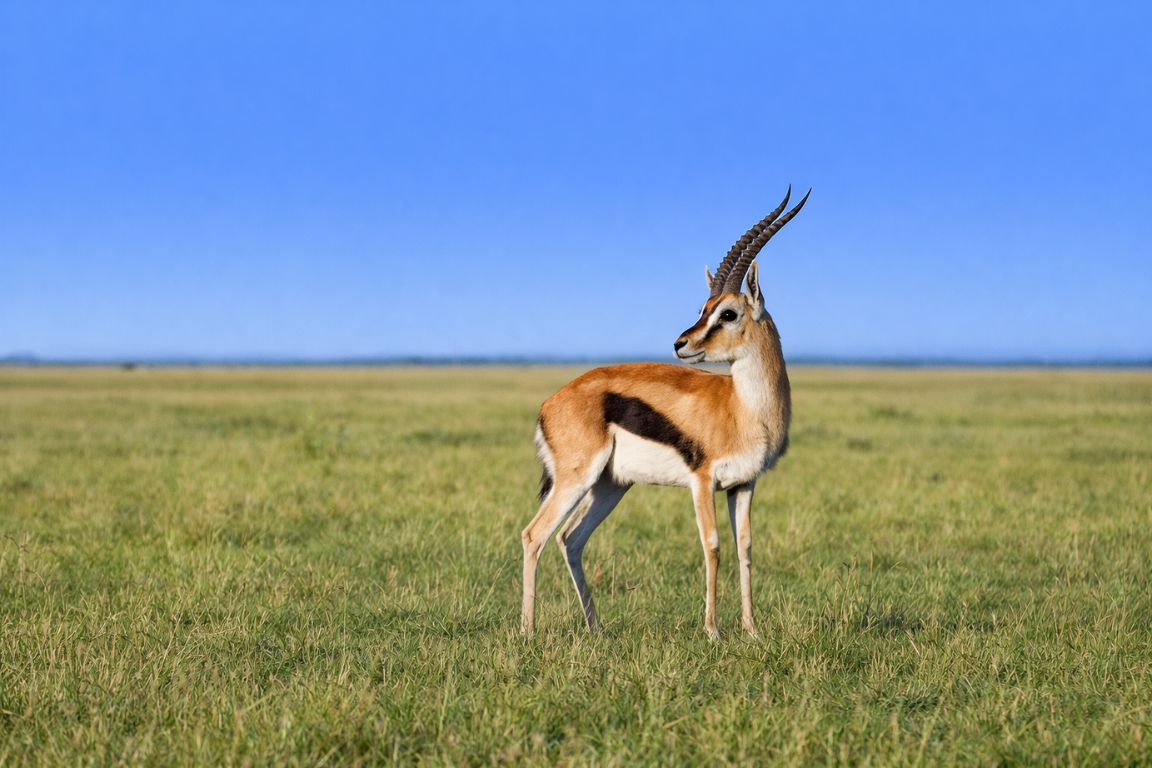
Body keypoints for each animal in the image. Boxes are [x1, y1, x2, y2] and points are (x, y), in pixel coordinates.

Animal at [520, 186, 809, 639]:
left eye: (727, 312)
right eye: (704, 306)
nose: (680, 343)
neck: (743, 408)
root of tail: (550, 404)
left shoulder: (744, 485)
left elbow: (745, 548)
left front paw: (751, 630)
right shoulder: (703, 481)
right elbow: (713, 546)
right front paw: (712, 631)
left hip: (610, 486)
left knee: (571, 538)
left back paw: (595, 628)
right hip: (576, 480)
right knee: (534, 535)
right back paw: (528, 632)